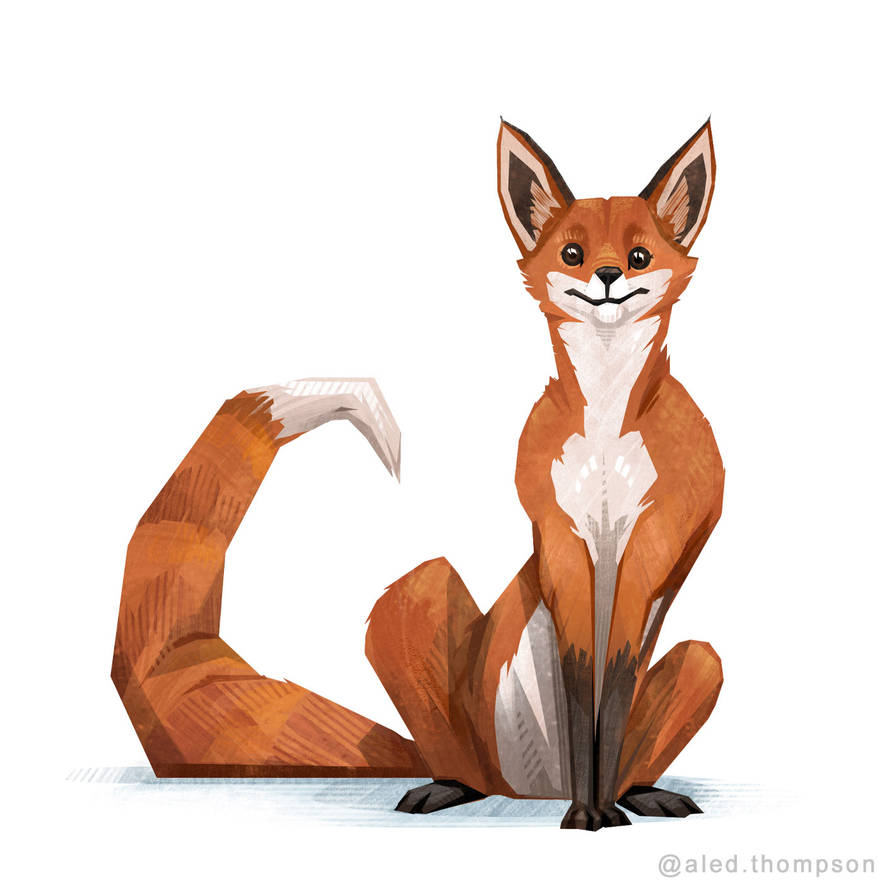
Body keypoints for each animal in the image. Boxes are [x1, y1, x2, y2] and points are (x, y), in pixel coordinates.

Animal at [112, 119, 724, 831]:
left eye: (638, 255)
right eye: (573, 253)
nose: (604, 276)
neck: (606, 439)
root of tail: (528, 790)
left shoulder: (655, 551)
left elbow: (613, 700)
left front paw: (601, 811)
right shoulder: (560, 544)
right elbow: (580, 698)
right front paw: (584, 815)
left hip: (704, 661)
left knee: (636, 744)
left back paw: (638, 793)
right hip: (412, 608)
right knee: (459, 760)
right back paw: (454, 788)